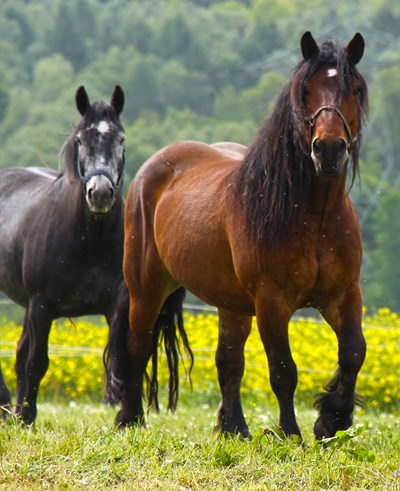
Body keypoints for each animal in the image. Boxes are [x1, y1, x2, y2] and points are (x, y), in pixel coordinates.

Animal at [0, 84, 125, 422]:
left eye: (121, 139)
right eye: (81, 140)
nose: (100, 193)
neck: (88, 240)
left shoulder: (116, 305)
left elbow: (119, 362)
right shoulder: (42, 306)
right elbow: (37, 363)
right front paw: (28, 418)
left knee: (19, 353)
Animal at [107, 31, 368, 438]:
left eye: (353, 89)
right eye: (305, 90)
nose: (328, 149)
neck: (316, 218)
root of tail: (153, 167)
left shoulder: (342, 294)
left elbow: (353, 352)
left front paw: (332, 419)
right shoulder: (271, 301)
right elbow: (283, 370)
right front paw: (290, 434)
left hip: (231, 303)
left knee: (228, 361)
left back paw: (235, 429)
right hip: (147, 288)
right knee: (138, 346)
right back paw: (130, 419)